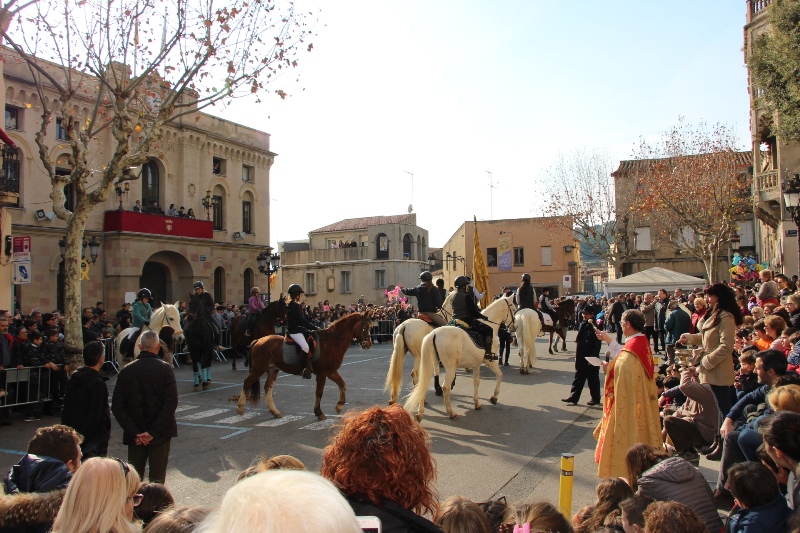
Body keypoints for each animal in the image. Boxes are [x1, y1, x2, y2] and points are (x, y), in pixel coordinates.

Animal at [236, 312, 374, 420]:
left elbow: (342, 385)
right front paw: (319, 413)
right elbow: (319, 392)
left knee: (267, 388)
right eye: (365, 327)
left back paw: (274, 412)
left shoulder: (331, 371)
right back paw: (240, 408)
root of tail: (258, 341)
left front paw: (339, 406)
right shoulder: (323, 373)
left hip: (272, 370)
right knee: (247, 382)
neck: (331, 342)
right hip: (259, 369)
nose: (368, 344)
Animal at [404, 294, 516, 422]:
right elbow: (500, 375)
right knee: (445, 387)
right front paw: (494, 397)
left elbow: (476, 382)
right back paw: (451, 412)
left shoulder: (476, 364)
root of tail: (434, 334)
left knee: (422, 384)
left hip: (430, 363)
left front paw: (477, 403)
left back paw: (420, 412)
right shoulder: (490, 361)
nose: (514, 327)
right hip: (450, 367)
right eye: (513, 308)